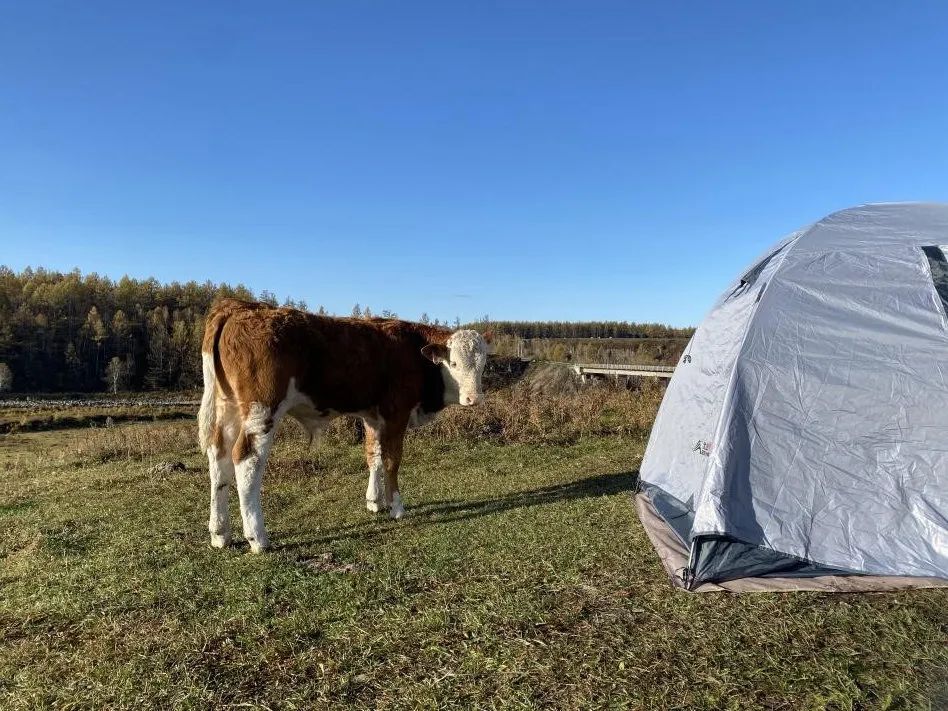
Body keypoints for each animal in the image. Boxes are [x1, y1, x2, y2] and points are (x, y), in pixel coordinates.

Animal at [201, 298, 496, 552]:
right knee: (246, 460)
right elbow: (392, 460)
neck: (413, 352)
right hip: (262, 410)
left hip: (228, 408)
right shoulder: (396, 413)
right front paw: (396, 507)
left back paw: (220, 533)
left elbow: (374, 456)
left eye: (482, 364)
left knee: (219, 459)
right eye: (453, 363)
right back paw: (257, 537)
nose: (474, 399)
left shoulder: (373, 417)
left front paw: (375, 501)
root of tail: (237, 306)